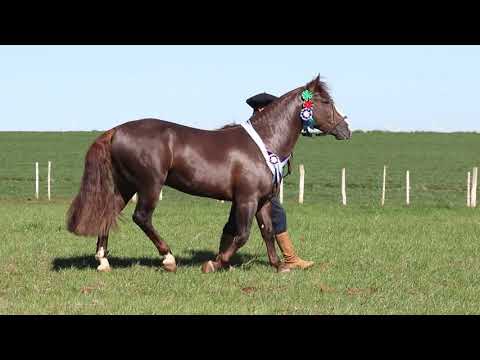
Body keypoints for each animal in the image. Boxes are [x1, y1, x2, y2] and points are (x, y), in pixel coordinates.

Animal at [67, 75, 350, 272]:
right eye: (326, 102)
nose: (345, 129)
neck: (264, 142)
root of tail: (115, 130)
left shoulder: (263, 201)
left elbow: (268, 231)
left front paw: (279, 266)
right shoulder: (246, 199)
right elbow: (243, 234)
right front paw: (215, 263)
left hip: (125, 186)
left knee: (108, 213)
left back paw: (103, 262)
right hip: (149, 185)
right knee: (142, 217)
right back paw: (168, 259)